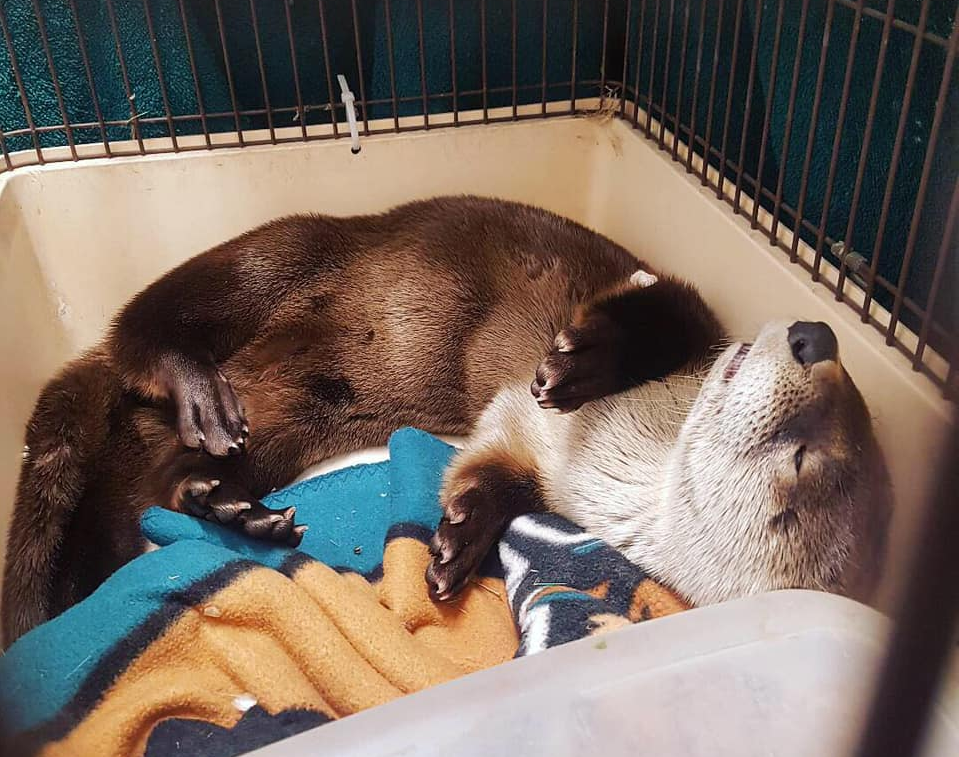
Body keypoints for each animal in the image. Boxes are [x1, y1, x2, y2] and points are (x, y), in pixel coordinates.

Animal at [1, 196, 890, 647]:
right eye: (838, 401)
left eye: (805, 456)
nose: (815, 335)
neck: (616, 445)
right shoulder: (683, 312)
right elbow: (658, 309)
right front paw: (577, 363)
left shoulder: (531, 458)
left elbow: (485, 467)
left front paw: (458, 541)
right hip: (273, 254)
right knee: (145, 324)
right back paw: (197, 393)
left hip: (291, 419)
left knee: (150, 489)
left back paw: (226, 505)